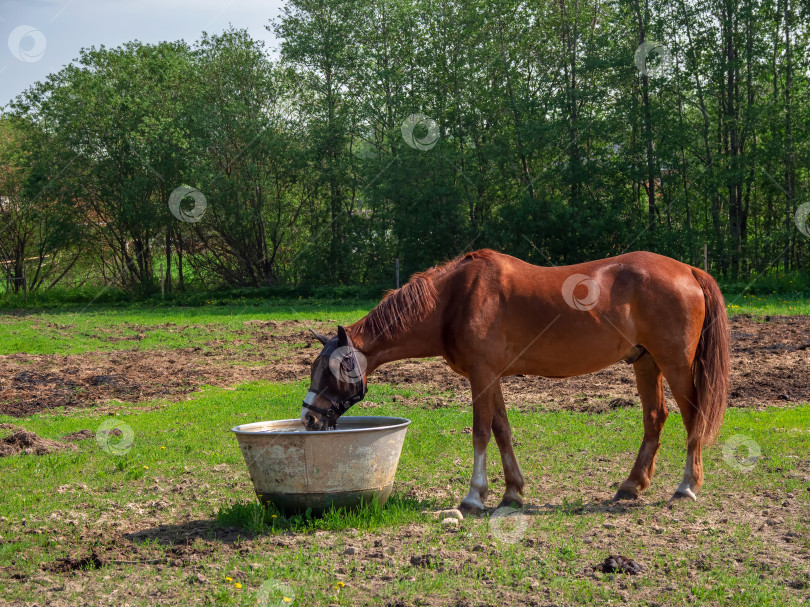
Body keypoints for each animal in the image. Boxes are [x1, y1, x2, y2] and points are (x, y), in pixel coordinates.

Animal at [300, 251, 728, 512]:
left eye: (333, 370)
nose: (308, 418)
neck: (454, 299)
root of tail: (688, 271)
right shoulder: (492, 378)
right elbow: (502, 430)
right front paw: (512, 492)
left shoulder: (482, 376)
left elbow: (480, 432)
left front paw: (474, 496)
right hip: (646, 363)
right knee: (655, 418)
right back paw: (631, 485)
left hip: (675, 365)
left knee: (693, 419)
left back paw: (687, 486)